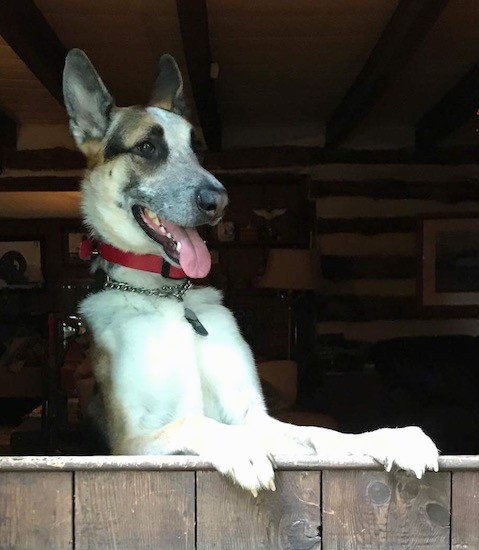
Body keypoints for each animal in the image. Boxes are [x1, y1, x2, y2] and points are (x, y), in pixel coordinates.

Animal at [62, 47, 440, 496]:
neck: (167, 296)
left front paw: (389, 437)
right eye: (148, 147)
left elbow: (322, 433)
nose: (219, 200)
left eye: (197, 150)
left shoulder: (253, 416)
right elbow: (195, 421)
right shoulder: (129, 442)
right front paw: (240, 447)